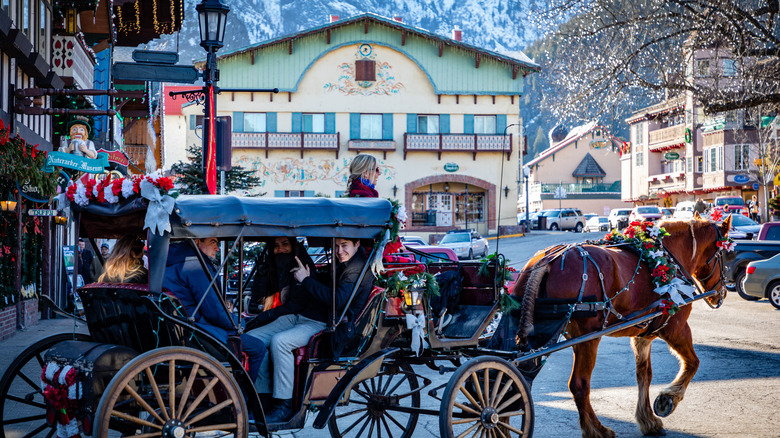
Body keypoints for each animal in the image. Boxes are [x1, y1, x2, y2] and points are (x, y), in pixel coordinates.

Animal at [512, 216, 732, 438]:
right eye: (726, 254)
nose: (721, 293)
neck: (670, 258)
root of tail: (548, 259)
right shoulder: (676, 328)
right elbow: (693, 363)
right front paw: (667, 399)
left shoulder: (642, 336)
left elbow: (644, 375)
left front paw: (648, 420)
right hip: (588, 338)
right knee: (579, 384)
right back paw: (596, 429)